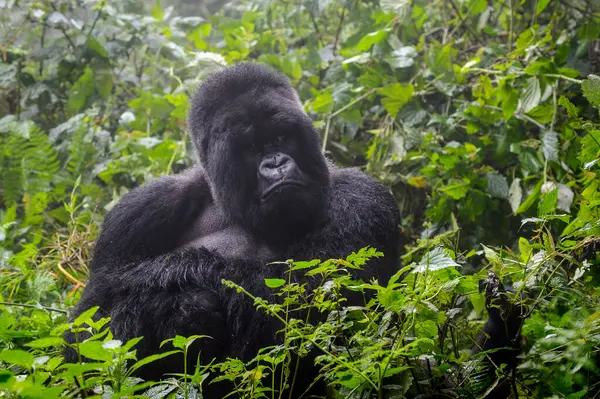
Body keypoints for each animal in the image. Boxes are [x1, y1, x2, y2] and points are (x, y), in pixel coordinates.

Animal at [65, 64, 524, 398]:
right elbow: (88, 331)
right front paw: (174, 296)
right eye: (252, 148)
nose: (276, 164)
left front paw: (183, 284)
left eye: (281, 137)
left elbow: (323, 301)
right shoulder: (138, 211)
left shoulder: (364, 196)